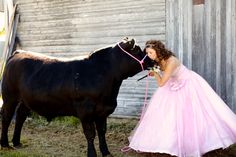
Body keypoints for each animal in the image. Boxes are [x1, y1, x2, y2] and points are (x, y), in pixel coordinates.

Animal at [0, 37, 154, 156]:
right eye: (136, 50)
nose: (152, 60)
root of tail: (18, 53)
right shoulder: (85, 111)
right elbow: (90, 134)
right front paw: (92, 154)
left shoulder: (102, 111)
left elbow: (102, 132)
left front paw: (106, 152)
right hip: (9, 97)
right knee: (6, 117)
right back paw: (5, 144)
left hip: (26, 100)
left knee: (20, 116)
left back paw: (17, 142)